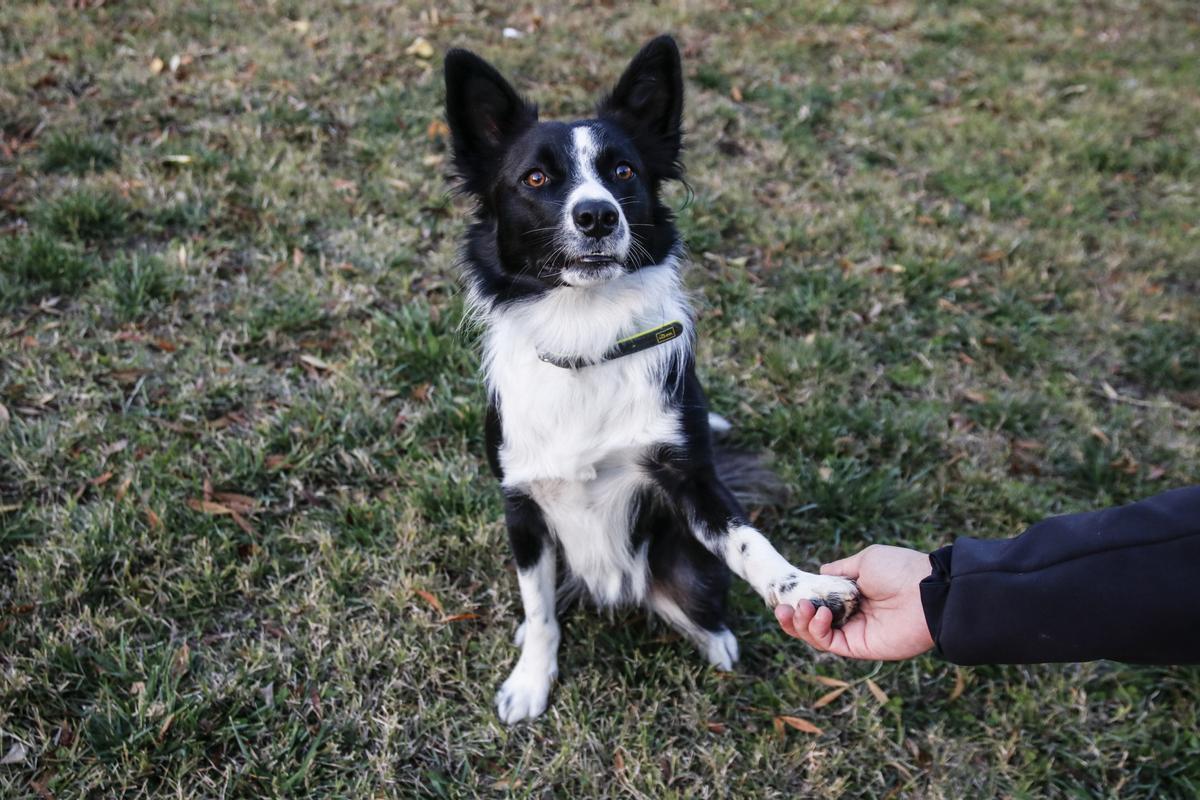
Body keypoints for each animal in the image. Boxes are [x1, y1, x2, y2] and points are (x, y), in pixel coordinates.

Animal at [446, 35, 859, 724]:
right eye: (536, 178)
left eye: (623, 172)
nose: (596, 216)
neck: (586, 338)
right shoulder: (522, 506)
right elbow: (539, 607)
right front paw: (531, 679)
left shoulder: (690, 477)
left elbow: (749, 543)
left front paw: (805, 588)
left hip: (685, 569)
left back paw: (717, 640)